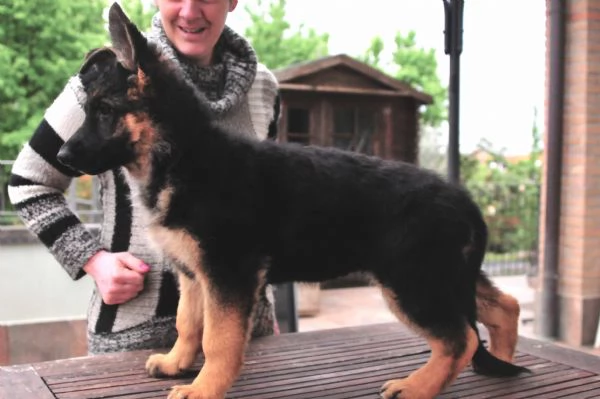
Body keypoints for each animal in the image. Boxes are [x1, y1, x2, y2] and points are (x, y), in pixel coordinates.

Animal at [58, 3, 528, 399]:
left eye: (105, 112)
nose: (61, 156)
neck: (181, 154)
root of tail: (466, 201)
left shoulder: (228, 274)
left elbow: (217, 338)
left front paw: (204, 388)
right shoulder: (195, 274)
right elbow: (188, 323)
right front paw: (177, 364)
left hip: (412, 280)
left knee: (460, 339)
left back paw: (416, 387)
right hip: (444, 275)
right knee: (505, 306)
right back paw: (500, 363)